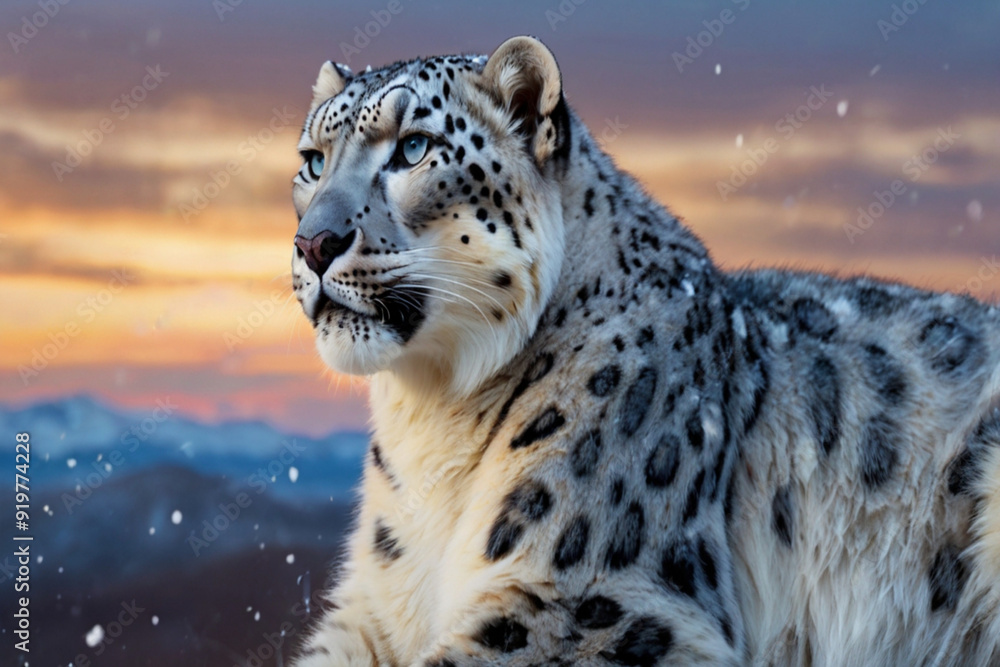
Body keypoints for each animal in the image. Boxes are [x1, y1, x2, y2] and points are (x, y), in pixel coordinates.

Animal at [287, 36, 1000, 666]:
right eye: (314, 160)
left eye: (413, 147)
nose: (313, 243)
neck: (432, 417)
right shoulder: (376, 606)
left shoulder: (585, 598)